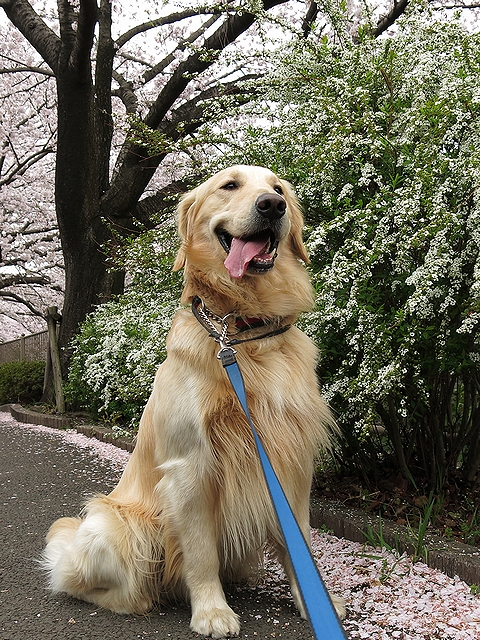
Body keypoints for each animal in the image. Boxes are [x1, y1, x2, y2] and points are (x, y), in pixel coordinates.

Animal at [42, 165, 344, 636]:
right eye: (230, 185)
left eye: (277, 188)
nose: (272, 206)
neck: (241, 330)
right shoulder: (191, 464)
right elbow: (200, 552)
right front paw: (212, 611)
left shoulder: (290, 460)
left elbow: (301, 542)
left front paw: (313, 602)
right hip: (121, 527)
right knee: (88, 582)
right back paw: (139, 599)